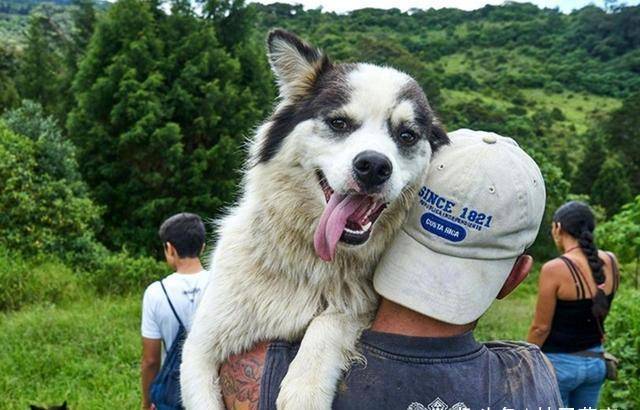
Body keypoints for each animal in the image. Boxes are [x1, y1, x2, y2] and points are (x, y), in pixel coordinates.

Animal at [180, 29, 450, 410]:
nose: (373, 166)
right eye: (339, 123)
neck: (310, 262)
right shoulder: (198, 347)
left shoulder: (361, 306)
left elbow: (332, 319)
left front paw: (303, 388)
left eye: (407, 135)